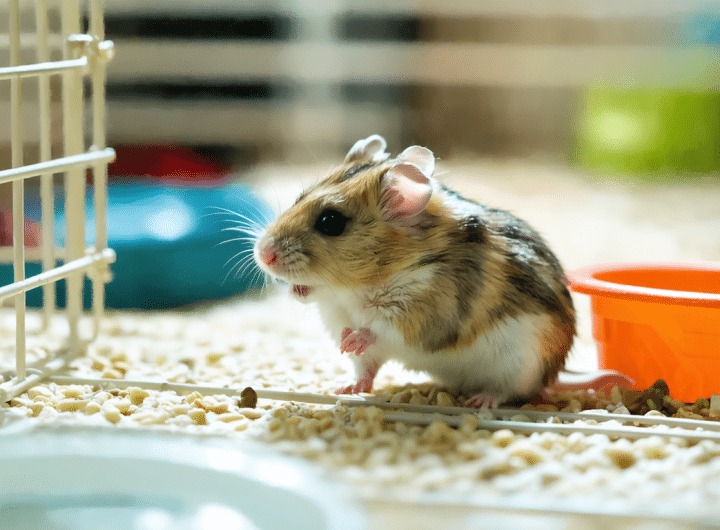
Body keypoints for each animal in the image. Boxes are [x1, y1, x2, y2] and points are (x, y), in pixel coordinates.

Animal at [253, 135, 629, 407]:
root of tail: (555, 375)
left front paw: (351, 340)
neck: (357, 289)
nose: (262, 254)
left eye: (331, 222)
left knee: (510, 391)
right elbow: (366, 363)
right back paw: (347, 389)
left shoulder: (426, 309)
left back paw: (481, 401)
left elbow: (380, 327)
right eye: (299, 197)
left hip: (522, 362)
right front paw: (345, 368)